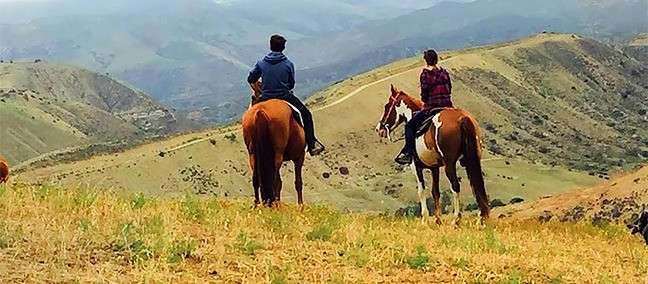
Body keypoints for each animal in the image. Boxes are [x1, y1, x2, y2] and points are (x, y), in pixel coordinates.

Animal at [374, 84, 492, 224]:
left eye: (387, 106)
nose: (379, 129)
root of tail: (462, 118)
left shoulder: (415, 166)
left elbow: (421, 190)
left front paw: (424, 219)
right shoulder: (434, 167)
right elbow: (435, 191)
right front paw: (438, 219)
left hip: (449, 163)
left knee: (455, 186)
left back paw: (456, 219)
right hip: (471, 159)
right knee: (475, 184)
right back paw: (480, 218)